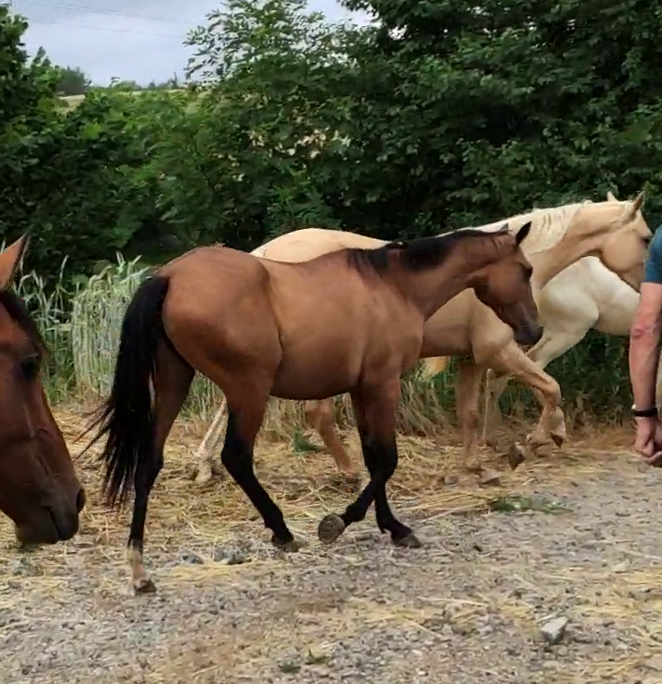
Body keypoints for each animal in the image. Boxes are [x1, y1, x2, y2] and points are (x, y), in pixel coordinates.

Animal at [82, 223, 541, 594]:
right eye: (525, 270)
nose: (533, 330)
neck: (393, 287)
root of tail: (170, 276)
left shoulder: (361, 390)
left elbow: (373, 459)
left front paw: (390, 526)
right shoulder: (382, 386)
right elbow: (387, 461)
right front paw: (341, 522)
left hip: (175, 383)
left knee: (148, 463)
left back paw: (139, 569)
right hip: (249, 389)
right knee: (236, 457)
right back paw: (282, 531)